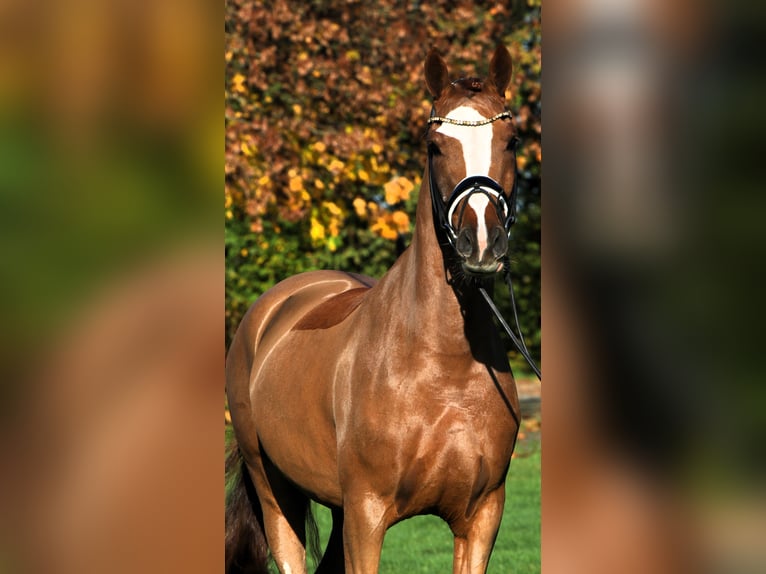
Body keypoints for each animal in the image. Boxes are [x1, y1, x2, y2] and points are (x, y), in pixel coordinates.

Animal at [226, 46, 520, 574]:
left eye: (511, 141)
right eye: (434, 146)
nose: (482, 242)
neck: (442, 363)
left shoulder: (482, 516)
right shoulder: (367, 513)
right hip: (274, 488)